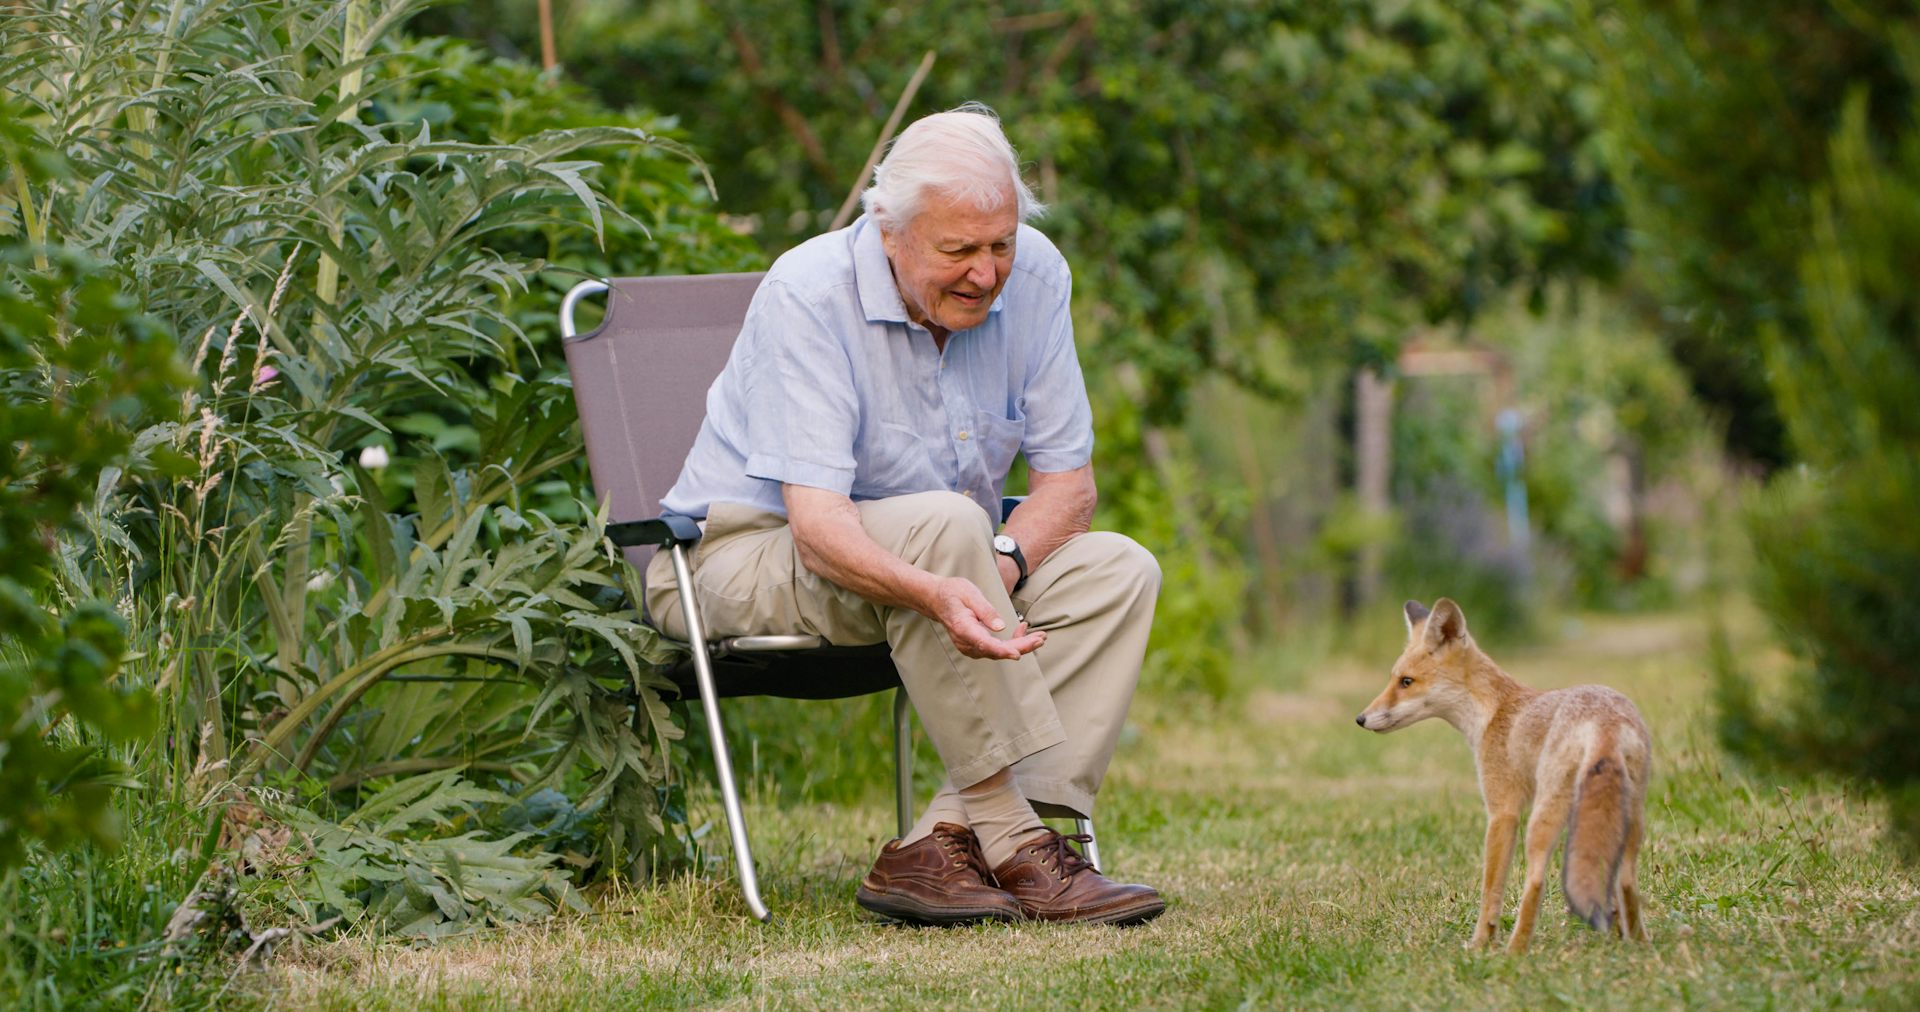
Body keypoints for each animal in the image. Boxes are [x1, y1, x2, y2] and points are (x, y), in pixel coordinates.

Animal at [1355, 597, 1652, 953]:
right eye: (1394, 679)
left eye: (1406, 682)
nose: (1360, 719)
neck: (1492, 713)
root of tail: (1604, 721)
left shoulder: (1502, 812)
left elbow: (1490, 891)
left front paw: (1480, 943)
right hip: (1629, 818)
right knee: (1627, 881)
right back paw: (1639, 943)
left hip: (1542, 820)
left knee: (1535, 881)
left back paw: (1515, 951)